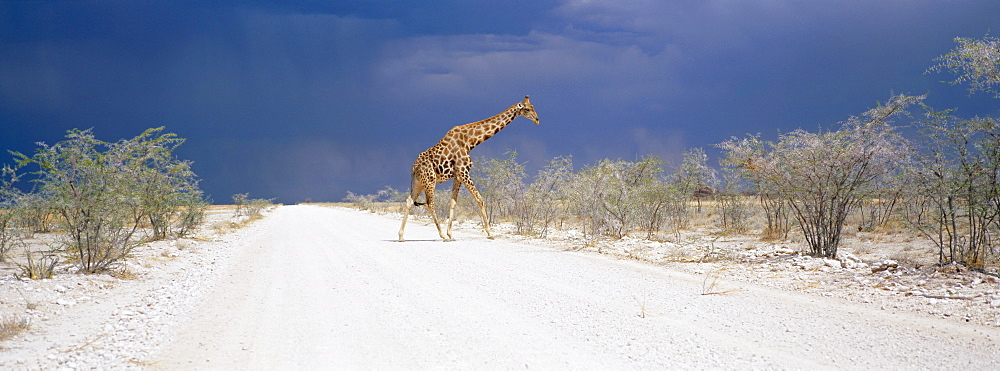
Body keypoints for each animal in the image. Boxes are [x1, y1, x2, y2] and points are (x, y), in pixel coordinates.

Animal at [398, 96, 540, 243]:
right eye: (527, 109)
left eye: (533, 107)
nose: (537, 119)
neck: (470, 142)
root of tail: (414, 167)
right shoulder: (464, 172)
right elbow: (479, 199)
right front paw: (490, 233)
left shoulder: (458, 175)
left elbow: (453, 202)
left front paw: (451, 234)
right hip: (430, 181)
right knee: (430, 203)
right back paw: (442, 235)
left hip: (419, 183)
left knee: (409, 201)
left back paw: (401, 236)